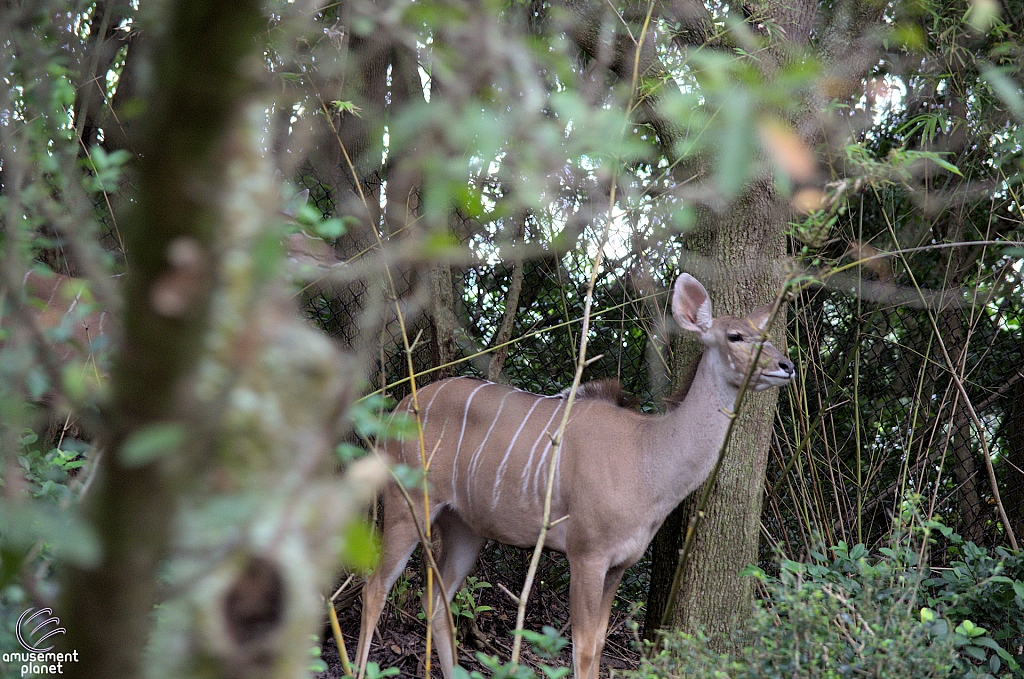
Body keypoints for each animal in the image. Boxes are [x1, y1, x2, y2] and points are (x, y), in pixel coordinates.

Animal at [356, 274, 794, 679]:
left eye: (766, 336)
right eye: (736, 336)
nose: (786, 366)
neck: (648, 455)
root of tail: (398, 410)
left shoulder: (619, 563)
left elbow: (598, 643)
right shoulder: (587, 553)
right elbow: (582, 648)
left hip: (464, 526)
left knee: (435, 600)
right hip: (406, 505)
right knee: (375, 587)